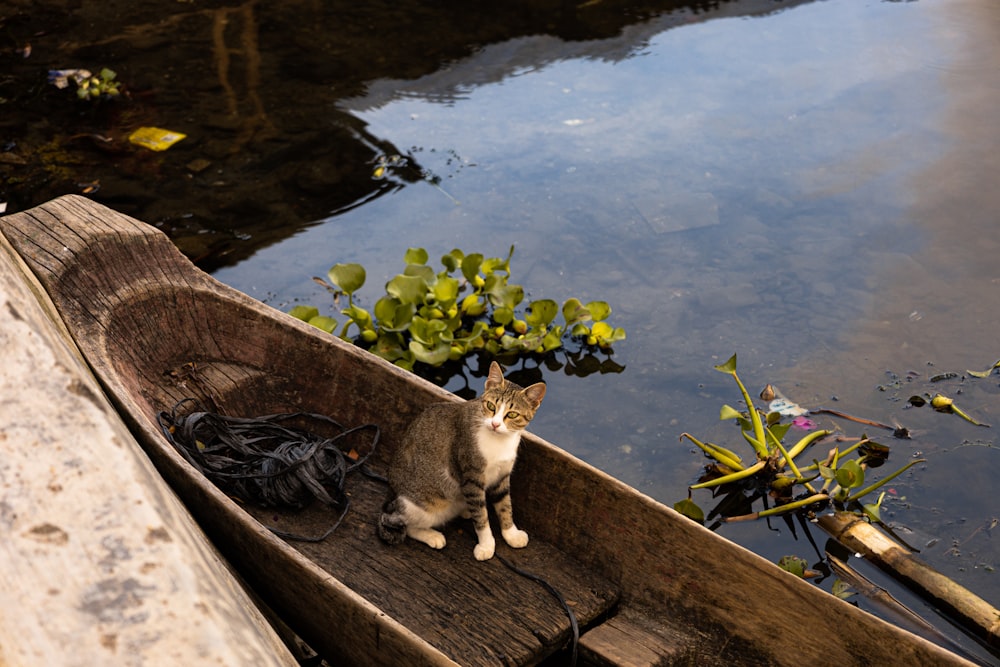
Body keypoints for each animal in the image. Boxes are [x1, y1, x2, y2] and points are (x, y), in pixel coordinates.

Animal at [376, 362, 548, 560]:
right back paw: (433, 536)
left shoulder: (502, 476)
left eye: (512, 415)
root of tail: (391, 495)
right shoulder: (471, 477)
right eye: (490, 406)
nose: (495, 424)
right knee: (407, 525)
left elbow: (505, 506)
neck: (498, 441)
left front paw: (510, 533)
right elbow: (481, 516)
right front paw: (486, 544)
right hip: (423, 505)